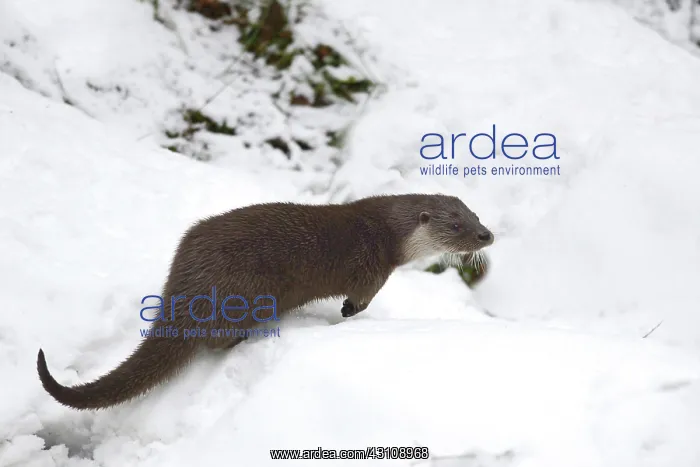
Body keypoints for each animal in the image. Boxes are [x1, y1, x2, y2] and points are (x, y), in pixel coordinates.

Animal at [37, 193, 494, 410]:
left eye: (476, 215)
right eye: (457, 226)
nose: (487, 235)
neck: (385, 231)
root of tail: (188, 283)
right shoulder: (372, 269)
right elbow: (360, 300)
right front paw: (348, 312)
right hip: (245, 293)